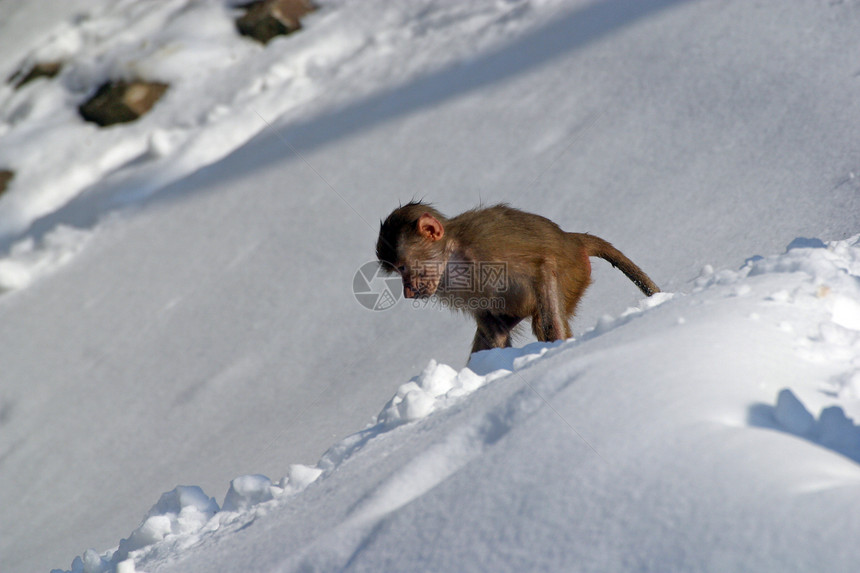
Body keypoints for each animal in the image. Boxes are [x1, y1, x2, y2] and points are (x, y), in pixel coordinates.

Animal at [376, 201, 660, 354]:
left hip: (573, 275)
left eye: (403, 268)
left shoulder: (487, 245)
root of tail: (571, 239)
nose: (408, 292)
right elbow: (493, 328)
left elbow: (542, 265)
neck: (452, 256)